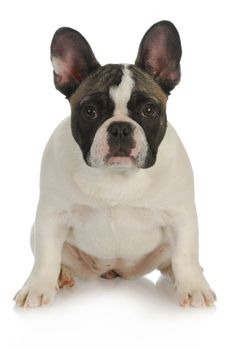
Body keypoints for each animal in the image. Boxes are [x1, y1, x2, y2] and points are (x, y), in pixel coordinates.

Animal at [14, 21, 216, 306]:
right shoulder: (51, 216)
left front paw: (193, 286)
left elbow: (185, 254)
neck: (118, 175)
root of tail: (114, 271)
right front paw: (37, 287)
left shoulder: (181, 216)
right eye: (90, 112)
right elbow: (46, 256)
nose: (120, 128)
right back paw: (63, 275)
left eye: (149, 110)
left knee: (172, 259)